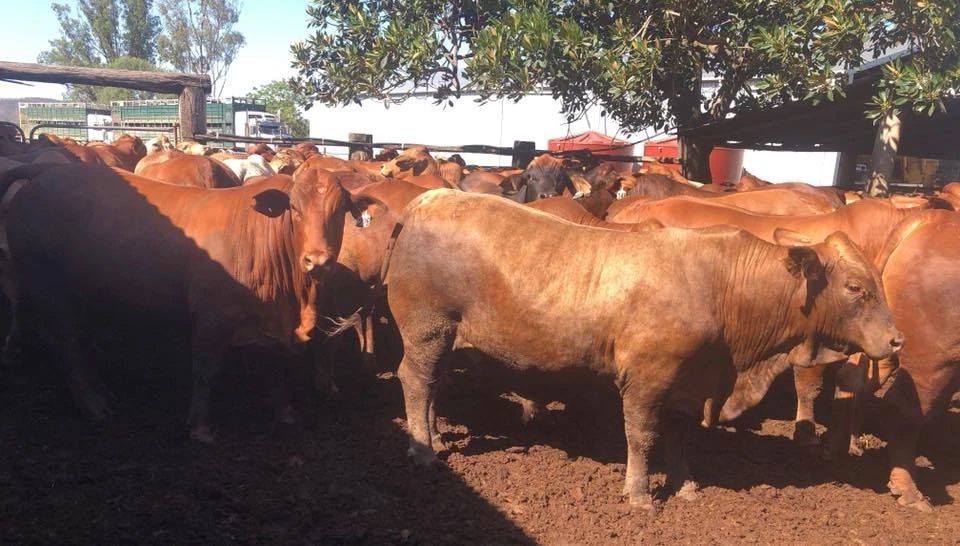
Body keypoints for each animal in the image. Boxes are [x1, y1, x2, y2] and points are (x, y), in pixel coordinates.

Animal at [0, 163, 382, 443]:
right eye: (295, 210)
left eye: (340, 211)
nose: (317, 261)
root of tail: (48, 170)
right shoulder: (212, 317)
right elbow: (204, 372)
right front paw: (199, 428)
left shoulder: (274, 323)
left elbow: (277, 368)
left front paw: (285, 414)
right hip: (51, 290)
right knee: (66, 344)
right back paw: (94, 405)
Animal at [385, 190, 902, 510]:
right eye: (855, 288)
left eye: (879, 282)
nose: (898, 339)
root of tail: (425, 201)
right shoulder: (648, 377)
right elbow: (642, 435)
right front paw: (639, 494)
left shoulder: (691, 382)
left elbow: (679, 434)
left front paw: (685, 484)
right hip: (428, 328)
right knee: (416, 380)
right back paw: (422, 450)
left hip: (441, 337)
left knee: (431, 384)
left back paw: (433, 436)